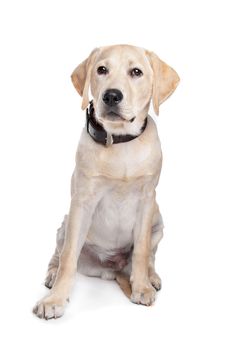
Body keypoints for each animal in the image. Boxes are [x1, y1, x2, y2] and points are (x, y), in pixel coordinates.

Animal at [31, 45, 179, 318]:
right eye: (101, 70)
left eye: (136, 72)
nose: (111, 96)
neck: (119, 141)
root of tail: (111, 269)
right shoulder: (82, 202)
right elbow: (68, 257)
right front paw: (55, 299)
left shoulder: (146, 200)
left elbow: (141, 251)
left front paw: (142, 286)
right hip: (65, 225)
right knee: (60, 254)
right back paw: (52, 276)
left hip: (158, 224)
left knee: (149, 256)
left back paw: (151, 277)